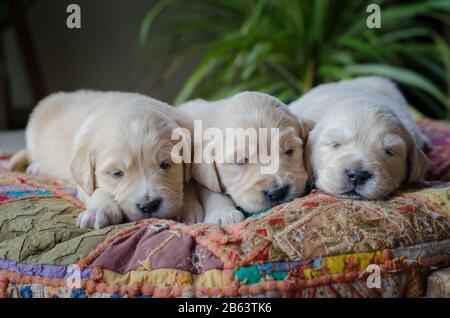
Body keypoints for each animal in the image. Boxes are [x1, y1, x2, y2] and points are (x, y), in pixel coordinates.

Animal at [9, 90, 203, 227]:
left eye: (165, 165)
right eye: (117, 173)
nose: (148, 206)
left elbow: (187, 184)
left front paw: (187, 208)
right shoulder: (83, 182)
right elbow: (97, 190)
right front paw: (99, 211)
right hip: (32, 136)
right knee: (29, 153)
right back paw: (34, 167)